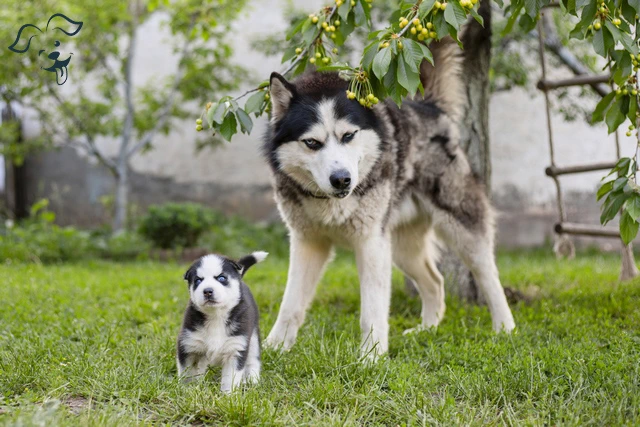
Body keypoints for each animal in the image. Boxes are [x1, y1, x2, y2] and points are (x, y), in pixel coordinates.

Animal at [176, 251, 266, 394]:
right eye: (198, 280)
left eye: (221, 278)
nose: (207, 291)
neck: (216, 316)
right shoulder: (189, 344)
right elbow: (187, 374)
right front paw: (187, 391)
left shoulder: (236, 348)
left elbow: (230, 379)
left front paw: (227, 396)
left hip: (253, 337)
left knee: (253, 359)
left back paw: (252, 380)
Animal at [262, 38, 516, 358]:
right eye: (311, 142)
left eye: (348, 136)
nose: (342, 179)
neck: (331, 205)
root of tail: (428, 105)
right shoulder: (308, 243)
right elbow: (290, 304)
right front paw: (273, 348)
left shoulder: (371, 243)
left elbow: (372, 310)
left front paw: (371, 357)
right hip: (401, 248)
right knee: (435, 281)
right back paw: (426, 329)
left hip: (461, 230)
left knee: (488, 275)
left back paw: (505, 328)